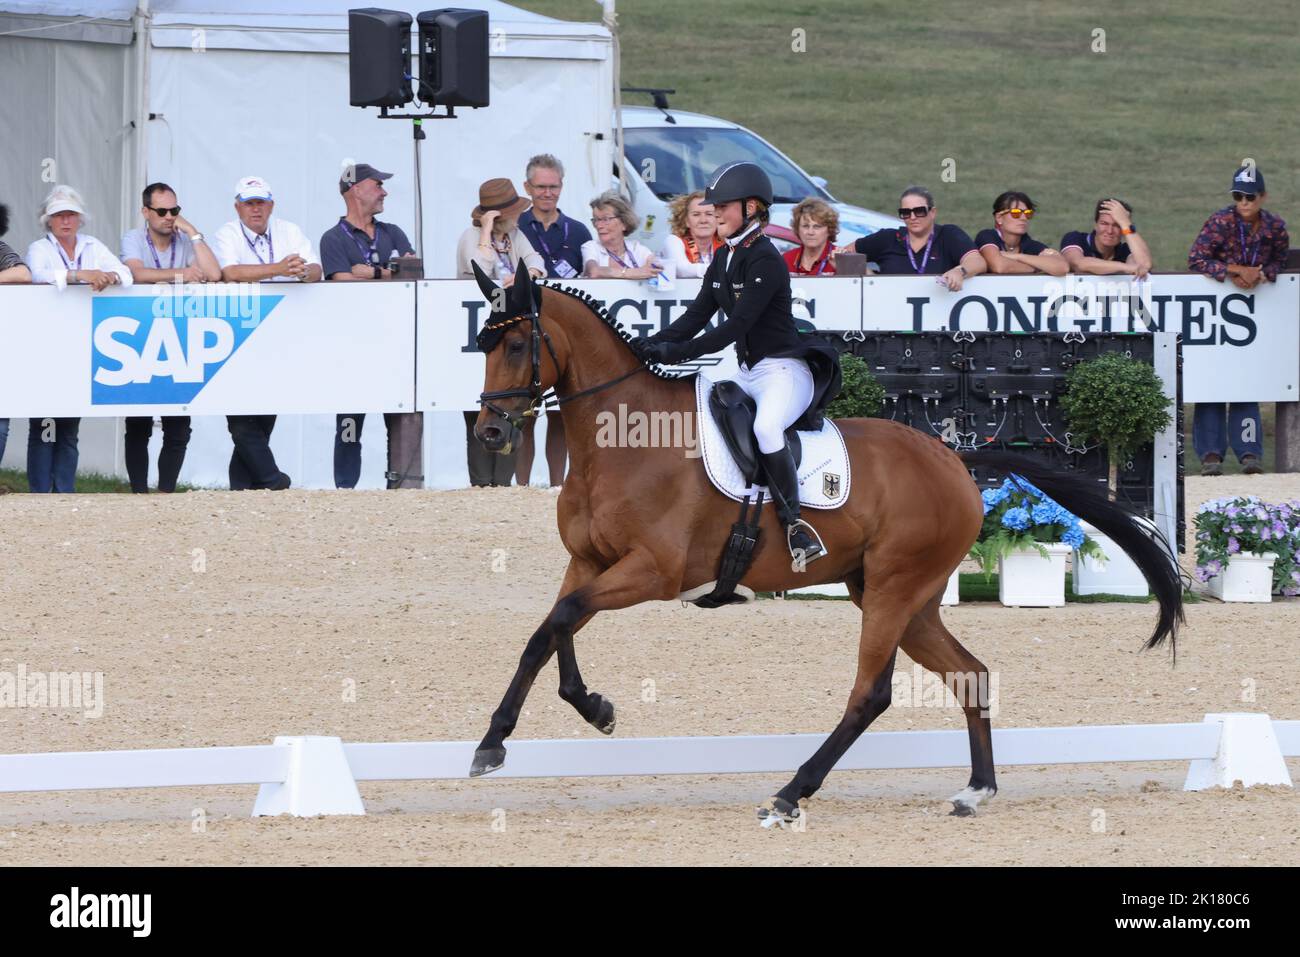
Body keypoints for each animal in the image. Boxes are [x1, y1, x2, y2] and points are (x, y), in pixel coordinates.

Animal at [470, 260, 1190, 821]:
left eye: (517, 345)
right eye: (483, 343)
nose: (490, 432)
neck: (623, 442)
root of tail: (956, 461)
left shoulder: (654, 571)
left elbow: (561, 619)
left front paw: (519, 734)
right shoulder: (588, 561)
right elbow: (550, 630)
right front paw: (554, 721)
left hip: (896, 588)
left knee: (871, 692)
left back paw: (791, 793)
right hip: (902, 596)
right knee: (970, 673)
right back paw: (974, 791)